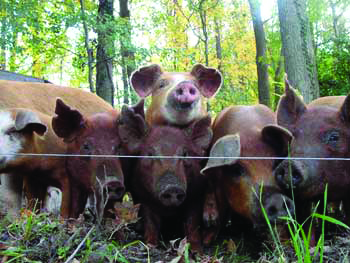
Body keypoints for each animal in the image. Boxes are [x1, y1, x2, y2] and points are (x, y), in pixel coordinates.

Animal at [116, 104, 212, 252]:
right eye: (150, 154)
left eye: (185, 154)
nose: (172, 187)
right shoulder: (143, 197)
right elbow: (151, 223)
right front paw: (150, 246)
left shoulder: (196, 195)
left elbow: (192, 223)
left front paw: (197, 251)